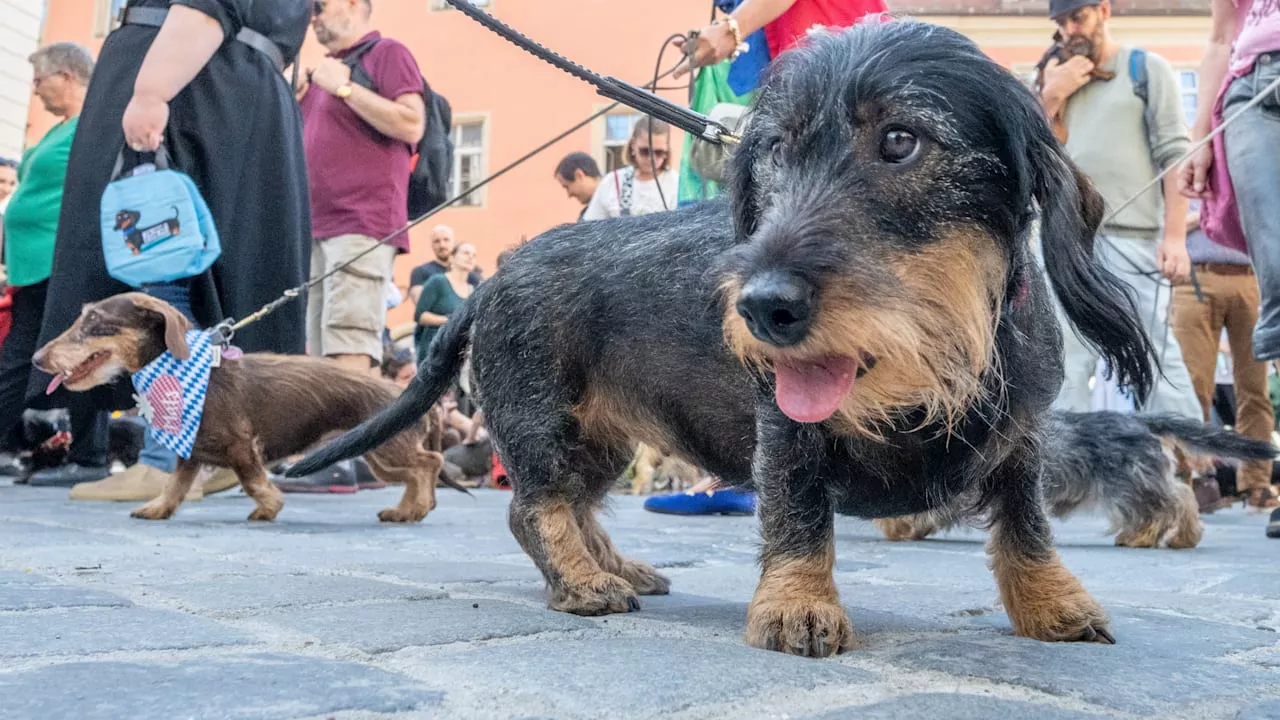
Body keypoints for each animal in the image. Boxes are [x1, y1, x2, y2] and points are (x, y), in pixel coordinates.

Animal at [293, 18, 1162, 655]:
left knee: (578, 504)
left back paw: (618, 565)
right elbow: (797, 515)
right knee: (536, 507)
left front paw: (1051, 603)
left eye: (901, 140)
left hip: (600, 440)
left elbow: (1025, 524)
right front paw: (799, 606)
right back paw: (584, 583)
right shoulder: (786, 429)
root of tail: (496, 275)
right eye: (774, 148)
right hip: (543, 421)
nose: (761, 309)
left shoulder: (1022, 439)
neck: (927, 371)